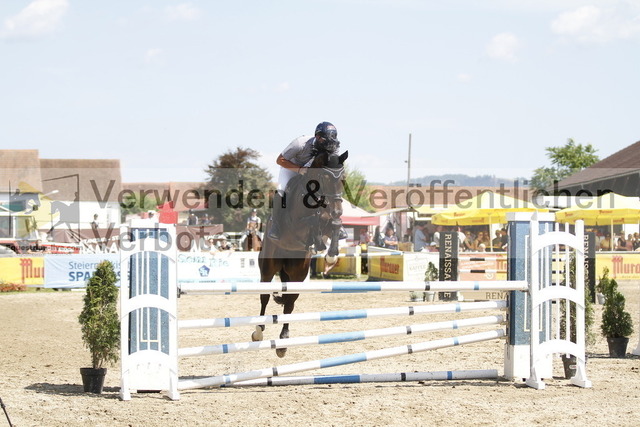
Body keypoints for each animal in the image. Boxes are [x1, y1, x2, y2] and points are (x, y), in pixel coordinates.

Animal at [255, 149, 348, 357]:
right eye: (325, 177)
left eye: (343, 178)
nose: (338, 210)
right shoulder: (295, 226)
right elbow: (311, 221)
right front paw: (319, 242)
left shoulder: (329, 220)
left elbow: (333, 224)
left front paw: (331, 254)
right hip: (268, 267)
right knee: (264, 297)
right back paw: (258, 331)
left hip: (297, 273)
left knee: (289, 304)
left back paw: (283, 342)